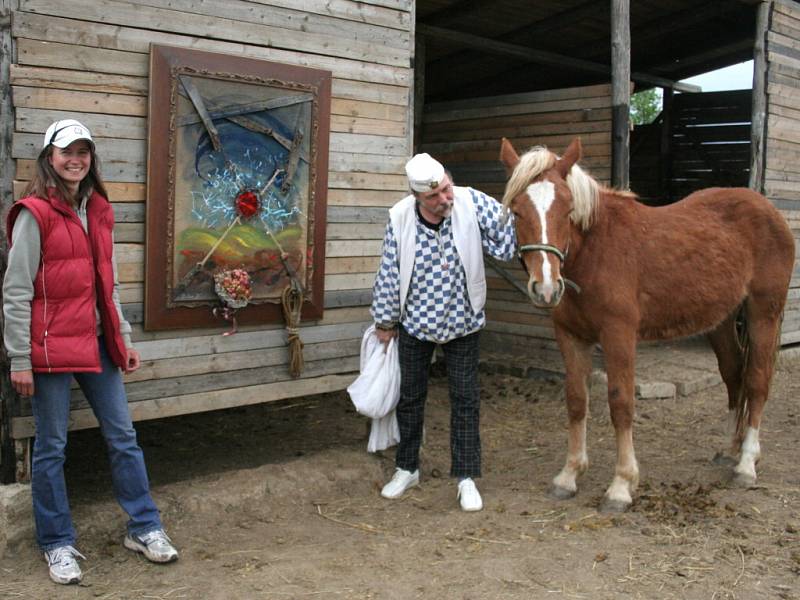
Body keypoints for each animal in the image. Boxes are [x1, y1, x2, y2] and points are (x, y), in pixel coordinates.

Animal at [500, 137, 792, 510]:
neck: (594, 252)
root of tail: (769, 211)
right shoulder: (570, 336)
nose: (547, 287)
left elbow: (621, 402)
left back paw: (746, 463)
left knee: (756, 380)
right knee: (733, 374)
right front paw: (569, 475)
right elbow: (577, 400)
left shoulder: (619, 334)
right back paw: (731, 450)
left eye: (567, 210)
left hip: (762, 313)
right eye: (517, 211)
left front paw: (622, 485)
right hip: (722, 320)